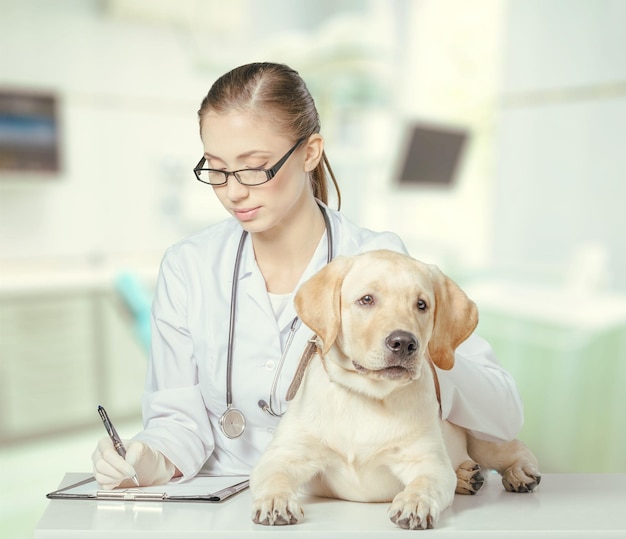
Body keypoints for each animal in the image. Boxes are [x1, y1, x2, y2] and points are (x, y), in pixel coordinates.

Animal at [249, 251, 536, 528]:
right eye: (366, 299)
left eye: (422, 304)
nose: (404, 343)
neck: (366, 396)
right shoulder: (284, 455)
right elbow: (273, 476)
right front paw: (275, 500)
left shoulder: (428, 461)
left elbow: (425, 483)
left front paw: (415, 502)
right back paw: (467, 476)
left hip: (483, 430)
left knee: (514, 447)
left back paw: (519, 472)